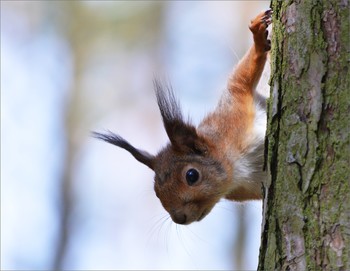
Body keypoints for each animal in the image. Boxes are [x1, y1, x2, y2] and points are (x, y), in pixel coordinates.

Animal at [94, 10, 272, 225]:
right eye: (156, 191)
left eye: (192, 175)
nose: (179, 218)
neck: (238, 168)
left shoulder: (234, 109)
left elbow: (242, 78)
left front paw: (258, 36)